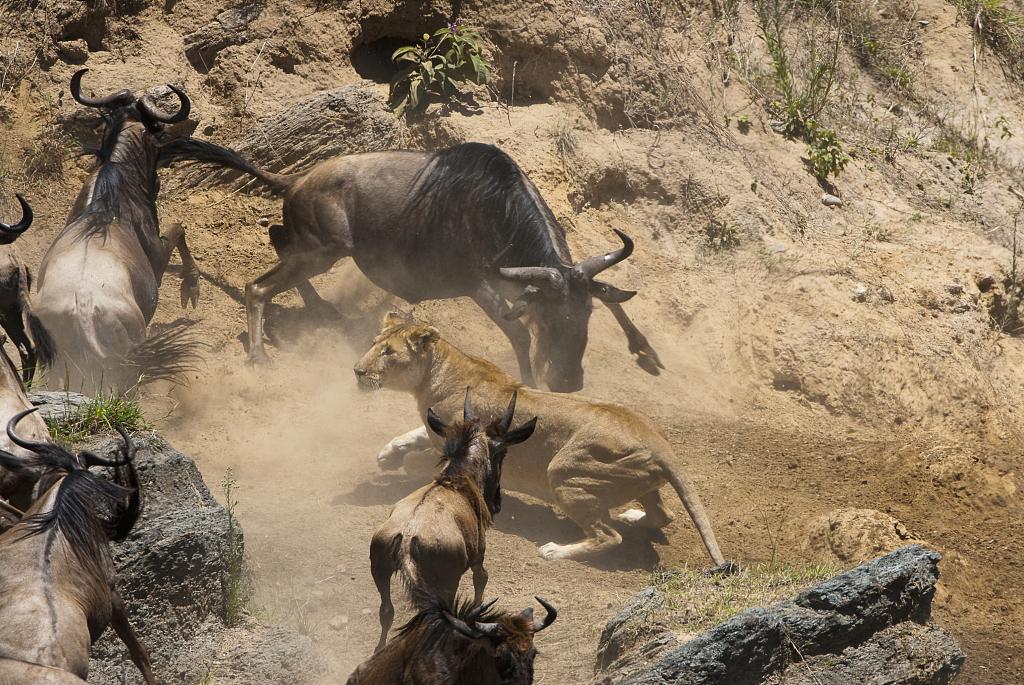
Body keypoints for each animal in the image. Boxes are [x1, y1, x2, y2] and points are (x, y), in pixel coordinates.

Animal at [354, 312, 735, 569]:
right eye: (373, 344)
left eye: (389, 353)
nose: (357, 371)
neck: (439, 371)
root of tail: (660, 443)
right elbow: (414, 433)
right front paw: (389, 453)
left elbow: (420, 461)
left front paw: (402, 463)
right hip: (637, 480)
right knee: (662, 515)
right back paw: (631, 515)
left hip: (564, 470)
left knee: (609, 536)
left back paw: (556, 550)